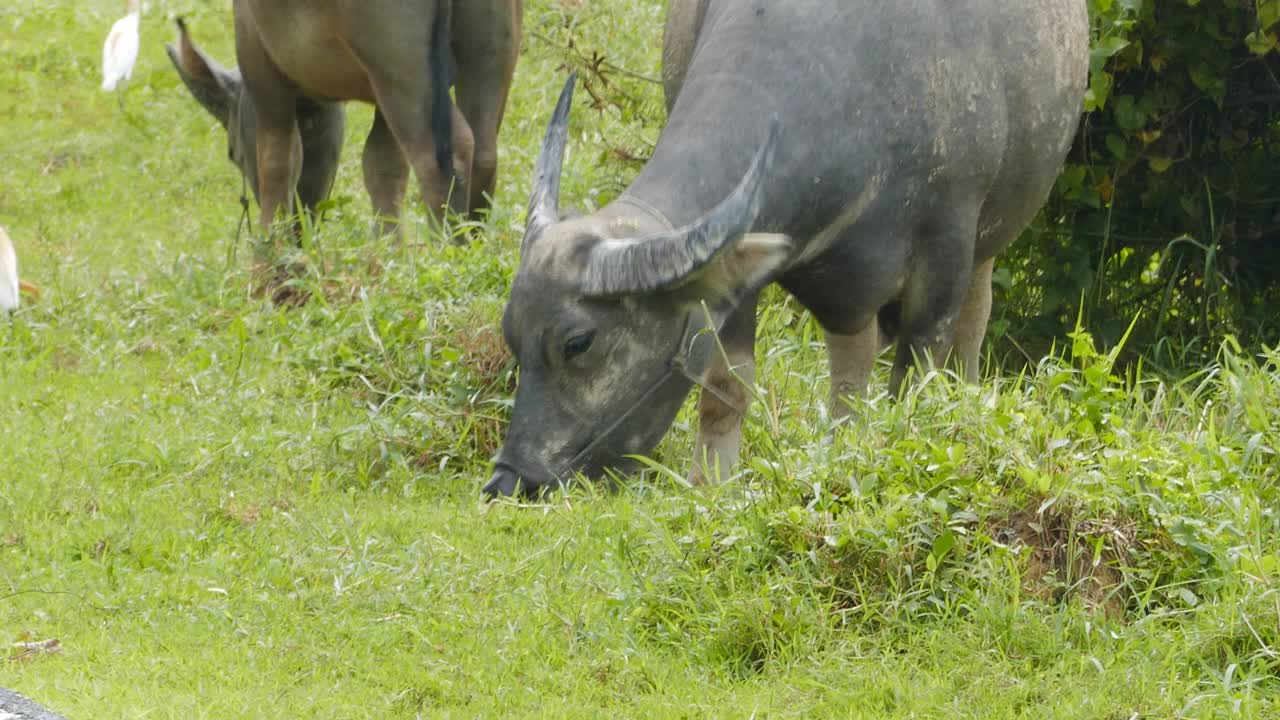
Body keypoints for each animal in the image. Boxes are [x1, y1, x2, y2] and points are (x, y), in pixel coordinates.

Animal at [168, 1, 519, 233]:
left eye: (232, 154)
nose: (300, 231)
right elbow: (383, 167)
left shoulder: (259, 61)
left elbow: (277, 164)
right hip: (491, 46)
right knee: (484, 152)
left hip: (401, 63)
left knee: (443, 158)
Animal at [483, 0, 1085, 499]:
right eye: (511, 334)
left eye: (578, 343)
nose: (511, 480)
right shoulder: (735, 268)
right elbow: (726, 385)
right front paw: (712, 486)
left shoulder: (945, 250)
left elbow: (917, 380)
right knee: (851, 368)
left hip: (989, 241)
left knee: (969, 331)